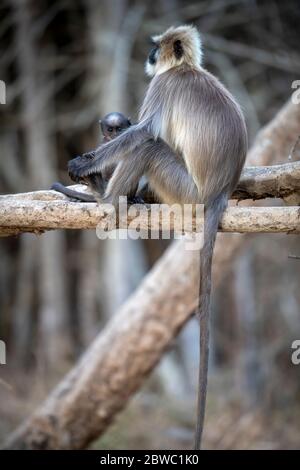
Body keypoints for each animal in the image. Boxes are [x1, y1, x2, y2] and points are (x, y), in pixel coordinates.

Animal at [68, 24, 248, 448]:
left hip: (185, 191)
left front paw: (83, 164)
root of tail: (218, 193)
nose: (150, 56)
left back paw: (107, 199)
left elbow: (143, 132)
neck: (184, 69)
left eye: (155, 48)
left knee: (149, 145)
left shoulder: (163, 85)